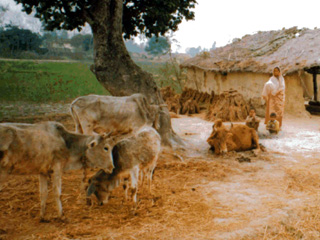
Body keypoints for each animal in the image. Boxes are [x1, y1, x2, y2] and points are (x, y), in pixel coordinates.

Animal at [0, 122, 131, 221]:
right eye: (106, 148)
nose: (112, 167)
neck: (66, 142)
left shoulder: (43, 171)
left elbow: (43, 194)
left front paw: (42, 217)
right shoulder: (57, 168)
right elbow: (57, 193)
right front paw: (61, 216)